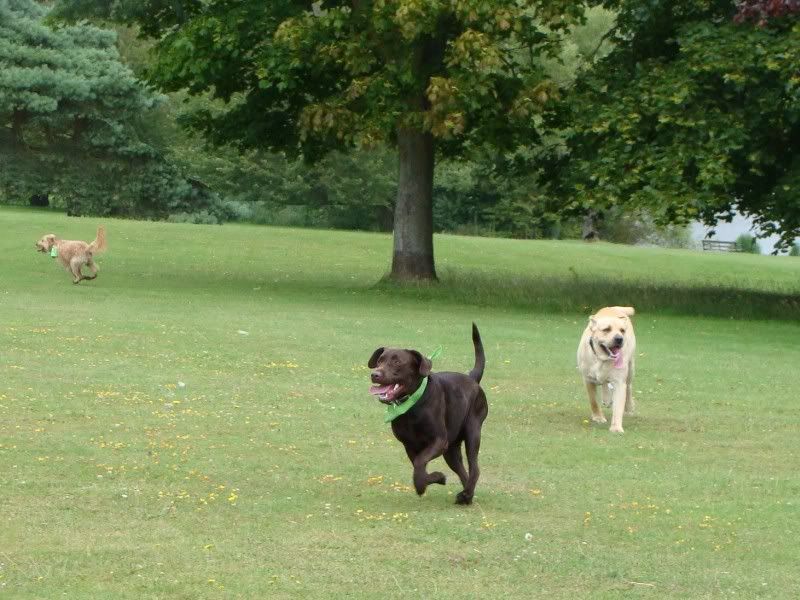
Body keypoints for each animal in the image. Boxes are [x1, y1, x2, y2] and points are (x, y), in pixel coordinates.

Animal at [368, 322, 488, 504]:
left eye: (397, 361)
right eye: (380, 360)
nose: (375, 374)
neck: (412, 406)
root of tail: (472, 378)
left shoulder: (438, 440)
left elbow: (419, 465)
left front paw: (428, 482)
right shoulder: (410, 445)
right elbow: (419, 467)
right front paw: (435, 479)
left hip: (472, 432)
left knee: (474, 468)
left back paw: (466, 493)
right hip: (451, 448)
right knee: (462, 471)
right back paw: (466, 495)